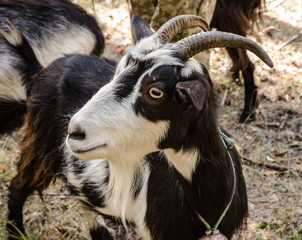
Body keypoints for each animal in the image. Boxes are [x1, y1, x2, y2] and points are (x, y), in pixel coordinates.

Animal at [1, 15, 272, 240]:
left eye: (156, 91)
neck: (206, 205)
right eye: (118, 71)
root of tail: (41, 70)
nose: (75, 132)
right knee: (17, 185)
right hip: (40, 143)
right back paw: (17, 233)